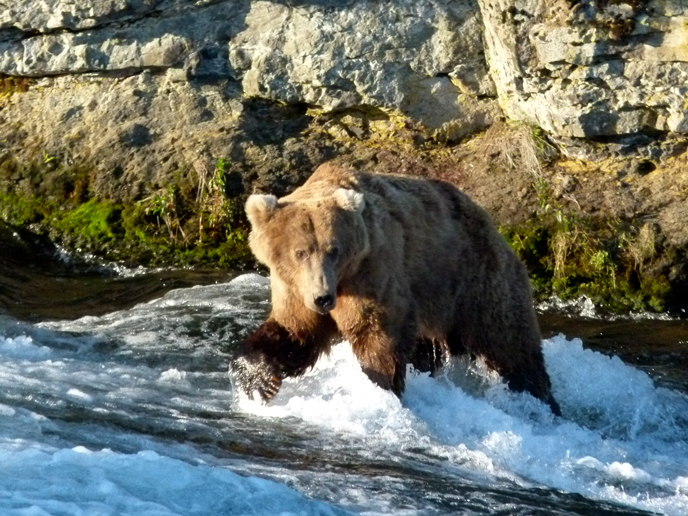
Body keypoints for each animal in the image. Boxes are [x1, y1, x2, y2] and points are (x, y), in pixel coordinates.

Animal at [231, 163, 560, 414]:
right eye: (300, 252)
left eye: (333, 249)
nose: (323, 298)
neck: (343, 279)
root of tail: (496, 229)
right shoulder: (295, 287)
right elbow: (296, 332)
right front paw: (259, 380)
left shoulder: (372, 272)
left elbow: (376, 333)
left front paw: (379, 386)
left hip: (476, 282)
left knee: (511, 347)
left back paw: (542, 402)